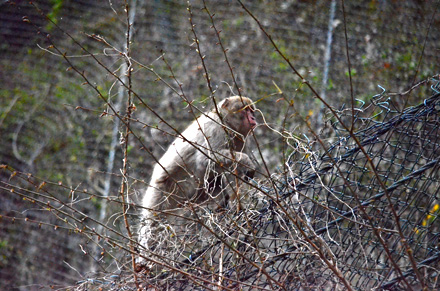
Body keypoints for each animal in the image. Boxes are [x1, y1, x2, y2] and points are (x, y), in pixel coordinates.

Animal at [136, 97, 256, 262]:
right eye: (246, 110)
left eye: (252, 110)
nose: (253, 118)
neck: (227, 123)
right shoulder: (216, 129)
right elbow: (204, 161)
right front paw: (247, 162)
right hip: (163, 191)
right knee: (154, 224)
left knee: (215, 181)